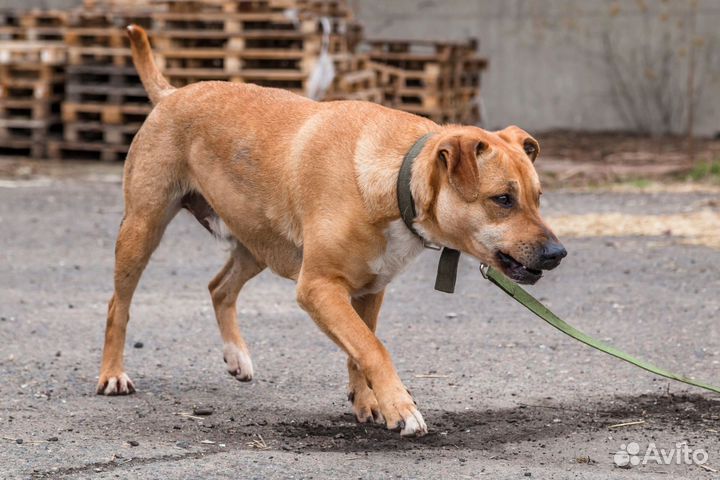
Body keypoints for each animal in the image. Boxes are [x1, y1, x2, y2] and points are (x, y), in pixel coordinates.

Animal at [97, 26, 568, 438]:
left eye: (538, 196)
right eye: (502, 199)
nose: (557, 254)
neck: (395, 180)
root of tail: (172, 94)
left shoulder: (369, 290)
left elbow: (360, 349)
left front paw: (369, 403)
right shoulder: (318, 286)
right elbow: (372, 348)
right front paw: (401, 408)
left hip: (259, 243)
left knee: (219, 287)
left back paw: (237, 356)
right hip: (143, 227)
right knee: (118, 305)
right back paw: (113, 374)